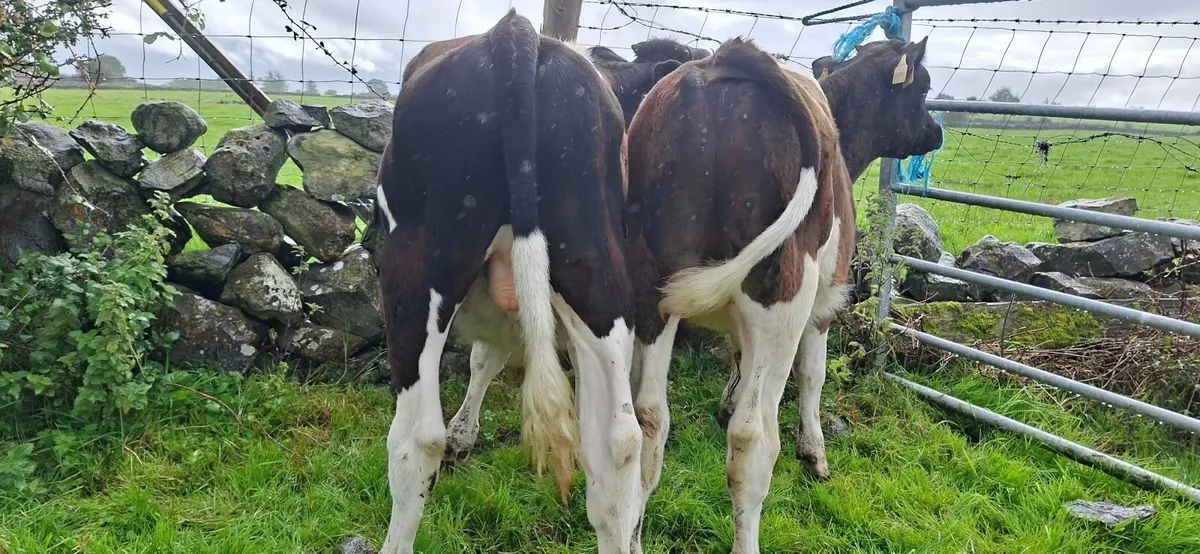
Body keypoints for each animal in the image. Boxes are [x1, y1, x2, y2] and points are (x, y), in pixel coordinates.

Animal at [374, 10, 642, 553]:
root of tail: (514, 32)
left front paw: (460, 436)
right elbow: (488, 358)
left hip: (417, 263)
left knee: (416, 438)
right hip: (597, 273)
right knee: (619, 443)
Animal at [624, 37, 941, 552]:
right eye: (924, 88)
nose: (936, 132)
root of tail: (725, 59)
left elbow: (736, 358)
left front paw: (726, 401)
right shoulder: (824, 303)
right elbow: (813, 375)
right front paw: (814, 454)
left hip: (652, 289)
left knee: (649, 418)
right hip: (784, 293)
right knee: (752, 438)